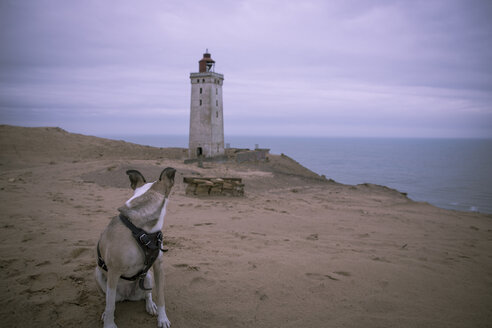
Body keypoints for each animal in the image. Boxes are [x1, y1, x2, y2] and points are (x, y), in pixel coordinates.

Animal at [94, 168, 175, 328]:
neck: (142, 230)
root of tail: (127, 296)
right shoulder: (114, 271)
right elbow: (110, 305)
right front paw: (109, 324)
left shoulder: (158, 267)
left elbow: (161, 297)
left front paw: (162, 319)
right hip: (99, 275)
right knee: (110, 300)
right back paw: (106, 313)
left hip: (148, 276)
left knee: (147, 294)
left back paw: (150, 305)